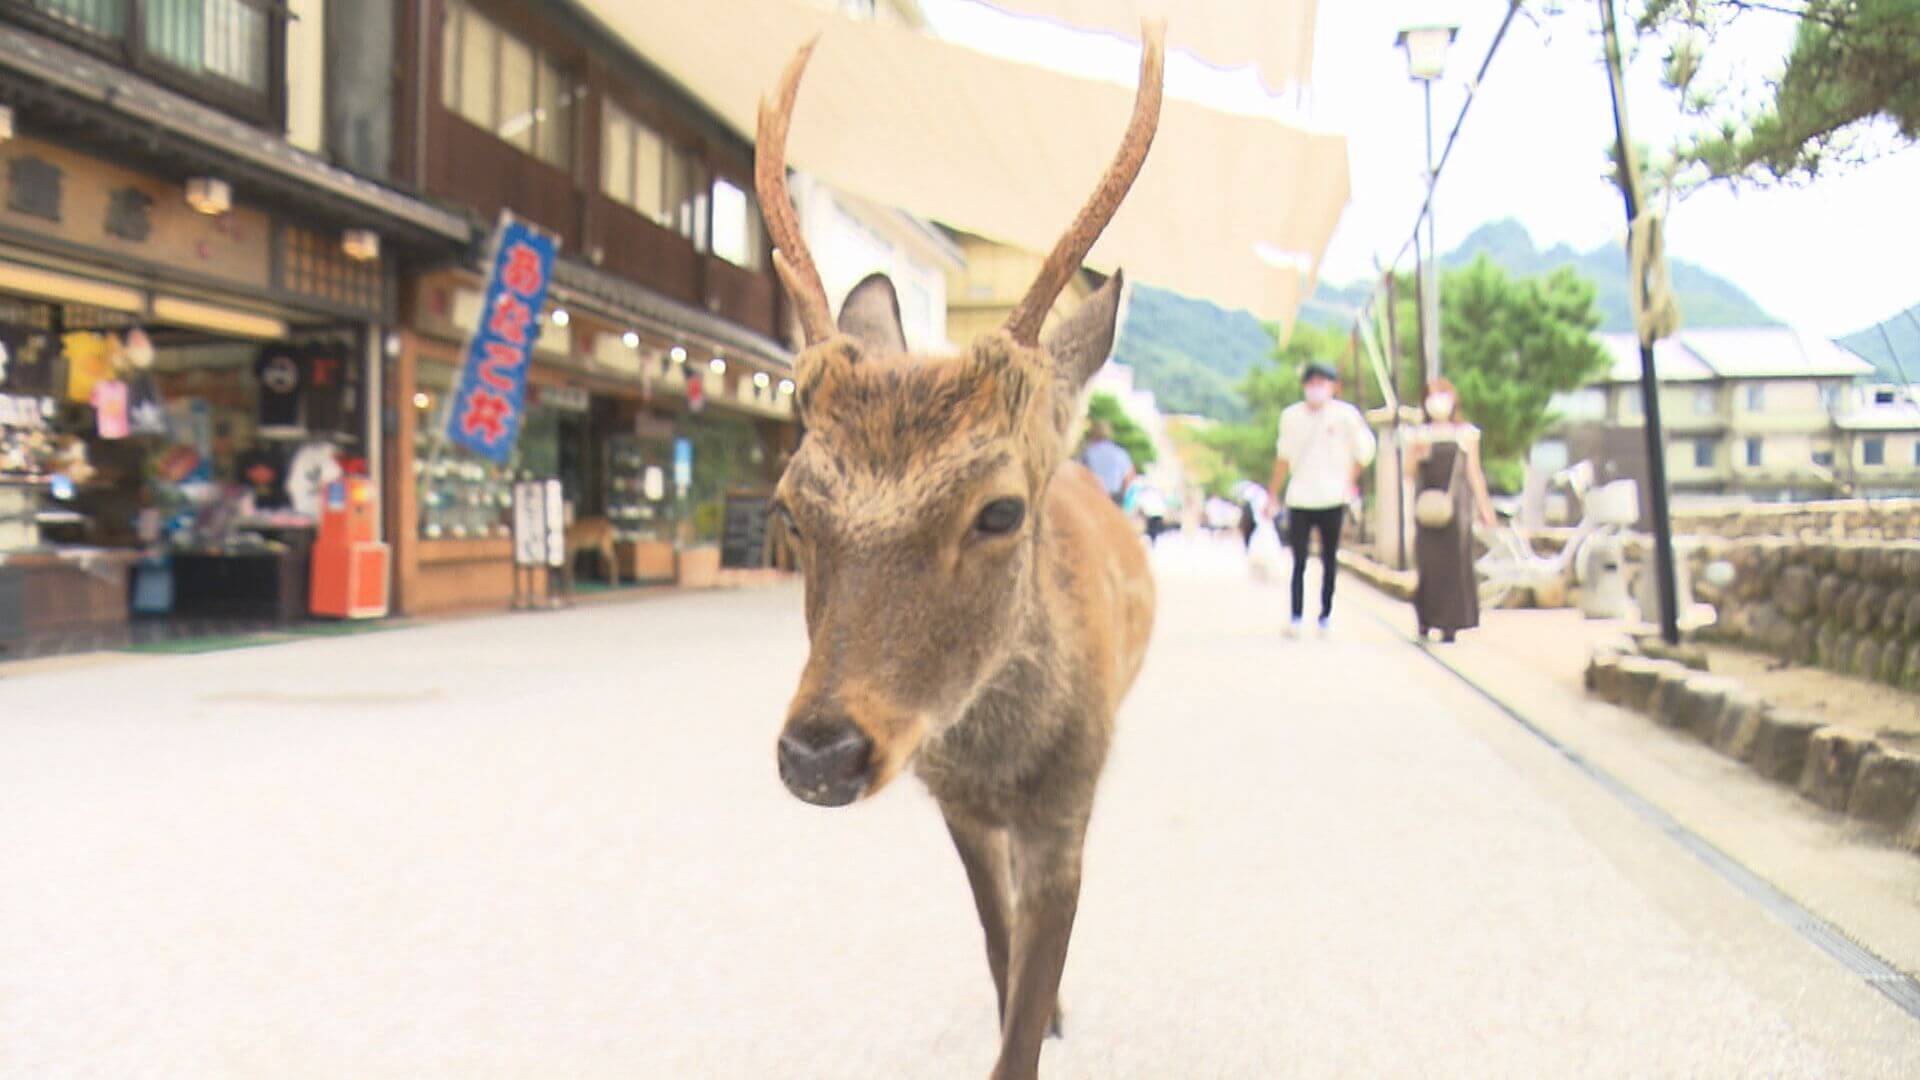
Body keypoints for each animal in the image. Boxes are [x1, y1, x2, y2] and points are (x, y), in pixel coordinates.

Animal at [756, 18, 1159, 1076]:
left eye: (1002, 510)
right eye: (791, 507)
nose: (820, 753)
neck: (1003, 765)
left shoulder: (1068, 808)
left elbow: (1024, 1002)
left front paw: (1045, 1014)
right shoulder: (956, 807)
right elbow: (996, 942)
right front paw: (1039, 1002)